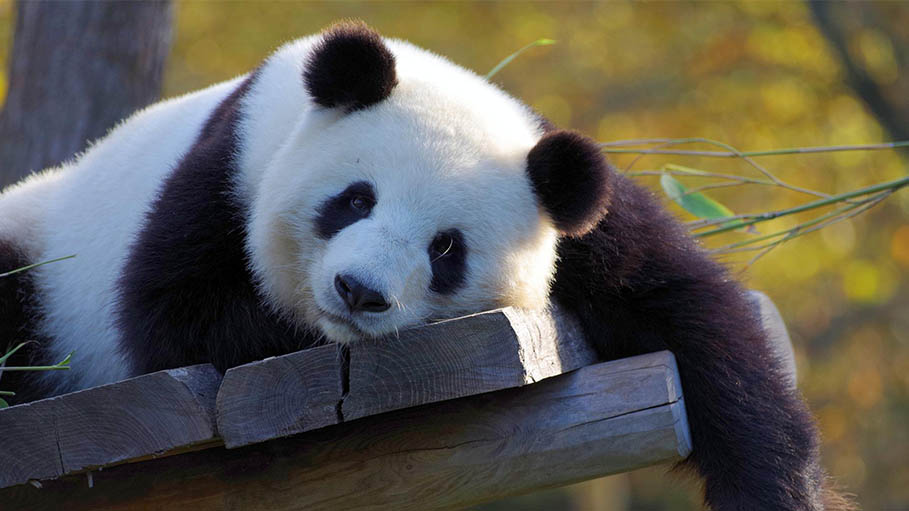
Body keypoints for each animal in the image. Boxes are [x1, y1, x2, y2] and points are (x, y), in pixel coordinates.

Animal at [1, 21, 852, 511]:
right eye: (353, 199)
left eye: (447, 248)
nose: (358, 292)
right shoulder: (229, 166)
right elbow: (173, 309)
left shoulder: (571, 211)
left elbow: (693, 316)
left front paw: (773, 486)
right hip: (40, 248)